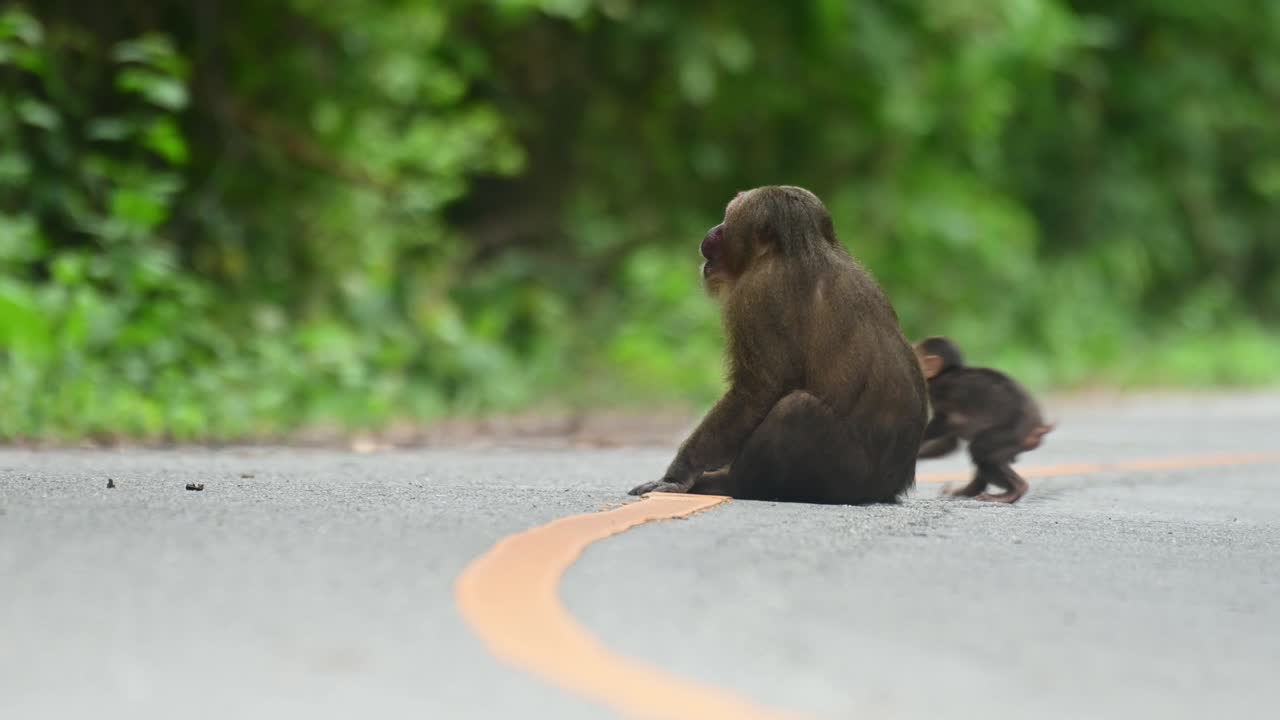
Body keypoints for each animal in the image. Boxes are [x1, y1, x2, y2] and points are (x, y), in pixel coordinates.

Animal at [627, 186, 929, 504]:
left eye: (727, 220)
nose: (712, 231)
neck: (789, 251)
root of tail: (889, 486)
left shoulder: (757, 293)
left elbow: (758, 391)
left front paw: (678, 476)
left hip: (848, 475)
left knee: (797, 408)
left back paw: (732, 484)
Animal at [913, 336, 1053, 504]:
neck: (947, 372)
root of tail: (1037, 428)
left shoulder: (940, 390)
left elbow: (951, 422)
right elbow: (949, 443)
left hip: (1011, 435)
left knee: (979, 448)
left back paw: (1012, 492)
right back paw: (968, 491)